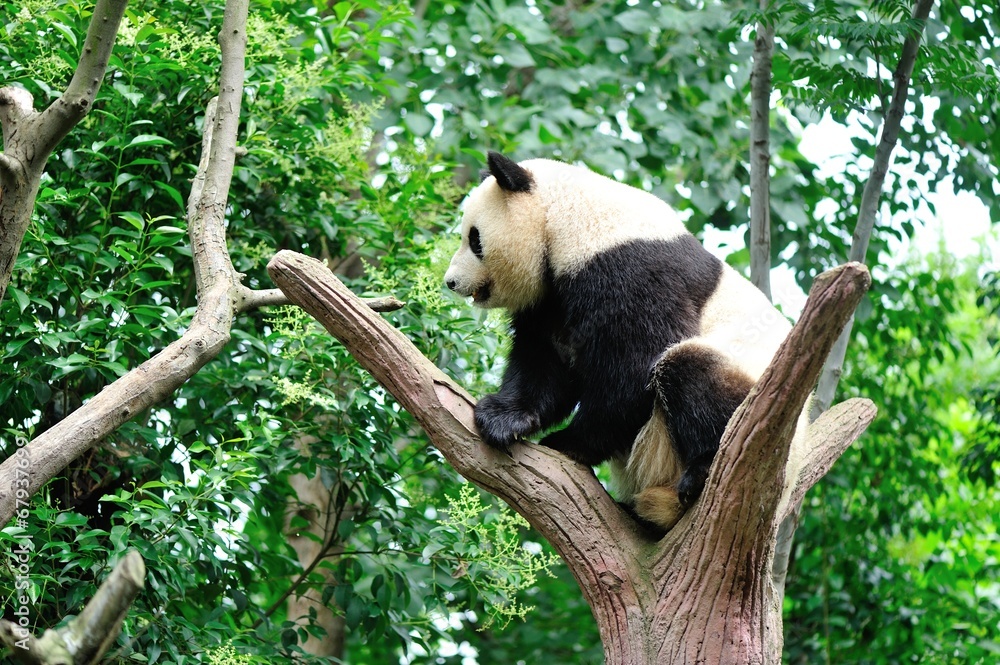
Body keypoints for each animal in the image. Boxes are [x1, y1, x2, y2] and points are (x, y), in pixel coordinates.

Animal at [444, 152, 807, 533]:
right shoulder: (550, 299)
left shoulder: (630, 270)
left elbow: (635, 368)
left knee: (689, 369)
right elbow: (546, 364)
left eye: (474, 239)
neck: (568, 216)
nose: (450, 282)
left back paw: (701, 471)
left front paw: (567, 442)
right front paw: (503, 419)